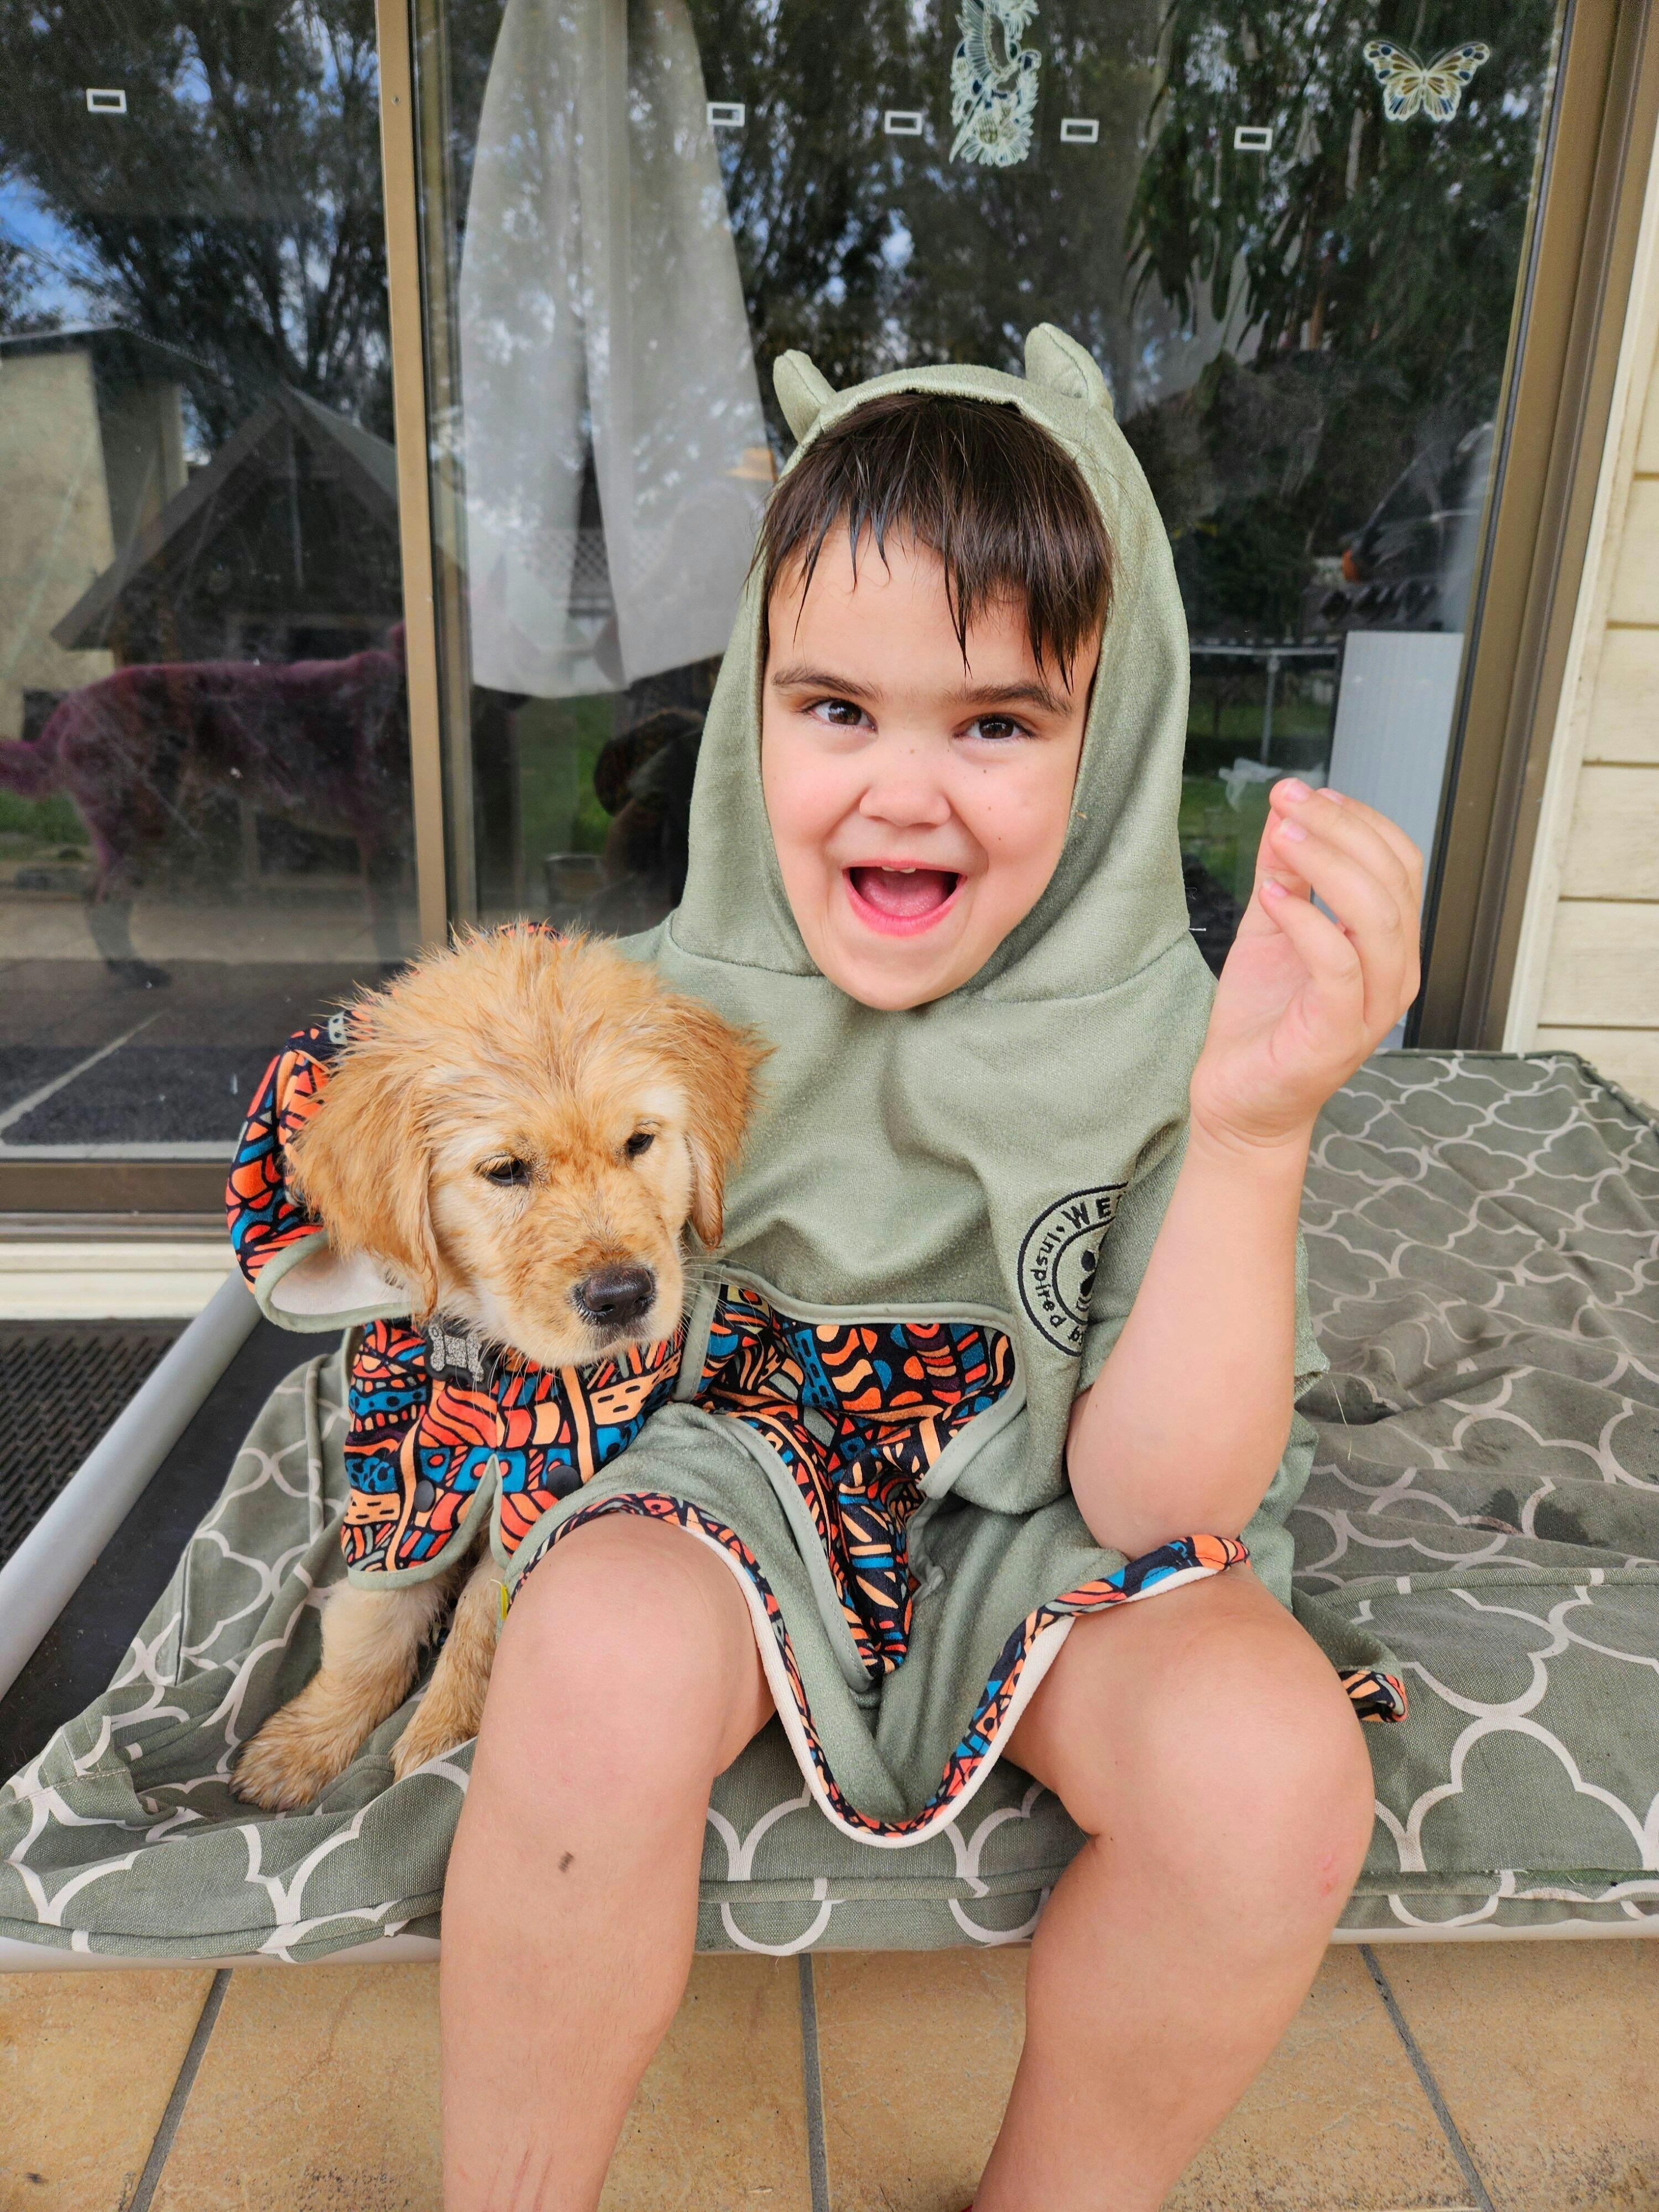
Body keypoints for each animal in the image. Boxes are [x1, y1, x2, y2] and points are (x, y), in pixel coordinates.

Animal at [231, 926, 763, 1811]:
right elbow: (372, 1618)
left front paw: (439, 1735)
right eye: (506, 1169)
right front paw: (308, 1740)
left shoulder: (555, 1472)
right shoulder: (396, 1474)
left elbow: (485, 1613)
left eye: (639, 1143)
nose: (624, 1295)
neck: (486, 1357)